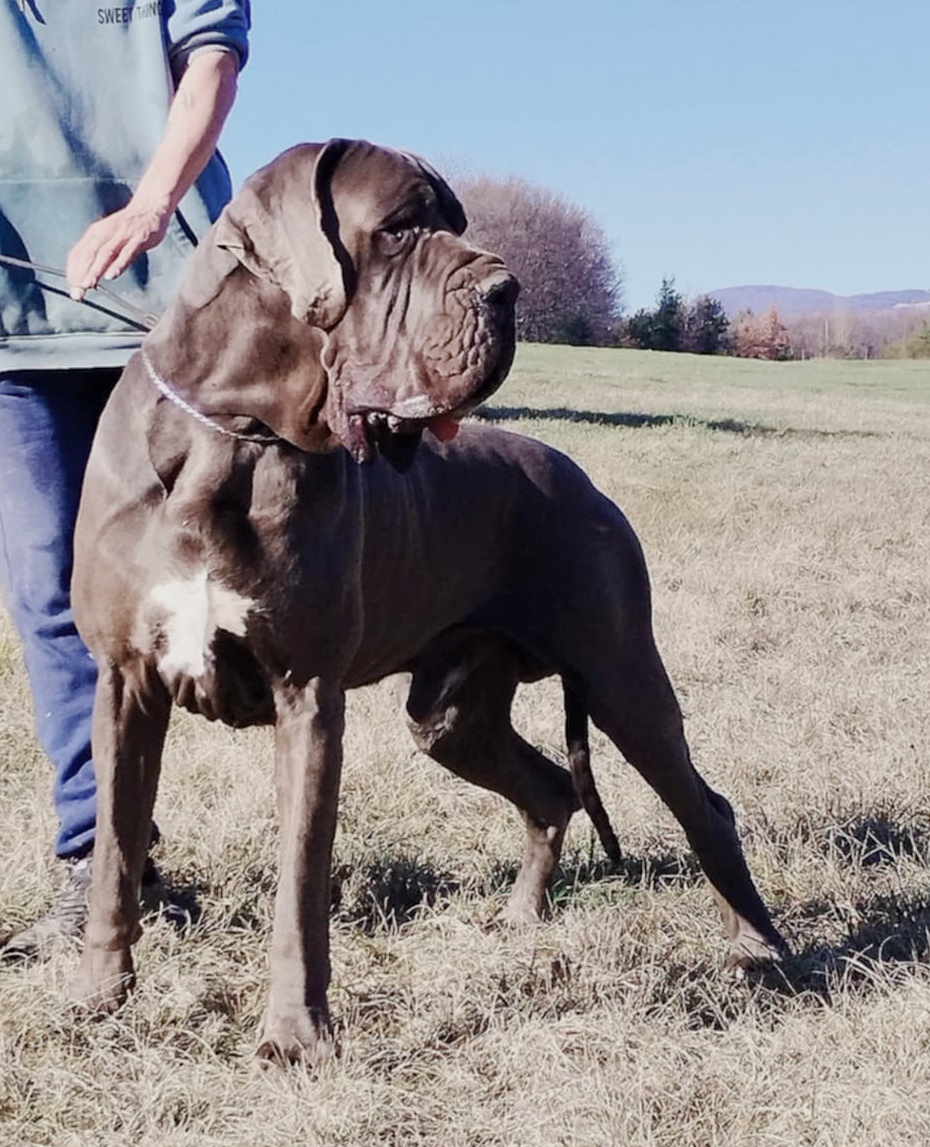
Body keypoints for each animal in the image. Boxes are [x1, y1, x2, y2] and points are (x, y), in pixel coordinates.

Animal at [72, 138, 784, 1059]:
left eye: (455, 224)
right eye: (401, 227)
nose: (506, 290)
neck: (234, 437)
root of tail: (584, 481)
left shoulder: (308, 694)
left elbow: (299, 882)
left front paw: (295, 1037)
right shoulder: (124, 683)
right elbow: (115, 855)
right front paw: (98, 998)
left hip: (622, 675)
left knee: (707, 806)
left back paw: (760, 949)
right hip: (452, 712)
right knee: (551, 788)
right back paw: (523, 917)